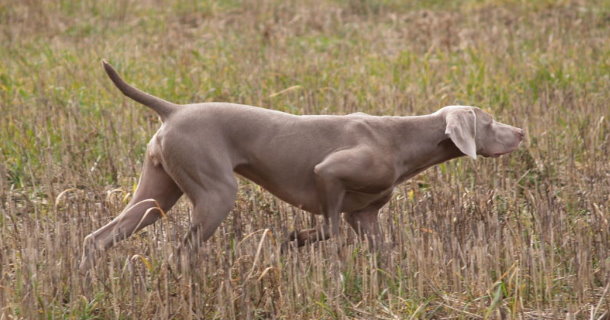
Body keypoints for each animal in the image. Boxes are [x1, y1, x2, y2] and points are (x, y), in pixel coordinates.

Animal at [78, 61, 520, 272]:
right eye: (490, 121)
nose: (521, 132)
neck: (402, 140)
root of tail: (174, 110)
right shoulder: (328, 173)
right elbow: (328, 227)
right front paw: (294, 240)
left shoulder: (365, 217)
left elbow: (382, 251)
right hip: (216, 193)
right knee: (182, 250)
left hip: (156, 193)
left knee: (98, 238)